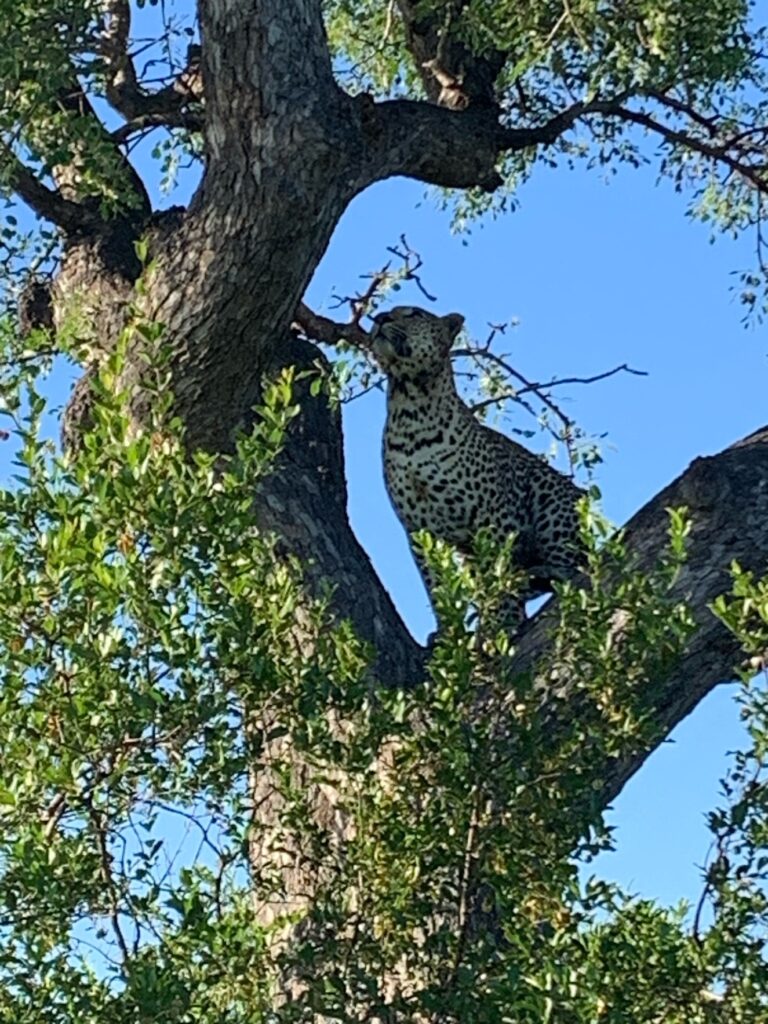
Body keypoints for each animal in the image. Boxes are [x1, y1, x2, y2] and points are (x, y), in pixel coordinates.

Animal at [369, 305, 585, 632]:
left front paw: (503, 623)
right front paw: (448, 632)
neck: (408, 408)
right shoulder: (419, 531)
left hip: (554, 502)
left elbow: (499, 571)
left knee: (572, 565)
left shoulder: (492, 519)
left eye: (414, 313)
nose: (379, 318)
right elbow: (435, 585)